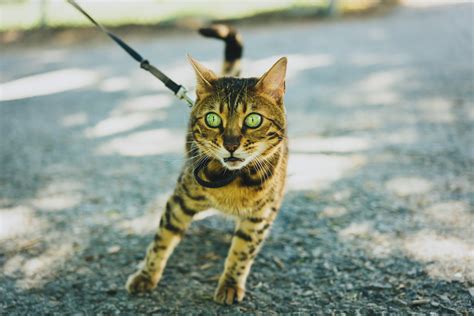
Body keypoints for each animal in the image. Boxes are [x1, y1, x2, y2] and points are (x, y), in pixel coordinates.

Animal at [127, 25, 288, 306]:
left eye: (253, 119)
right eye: (213, 119)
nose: (231, 144)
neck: (232, 181)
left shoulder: (260, 216)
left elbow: (242, 252)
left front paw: (231, 282)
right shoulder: (179, 201)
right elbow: (161, 240)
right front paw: (146, 274)